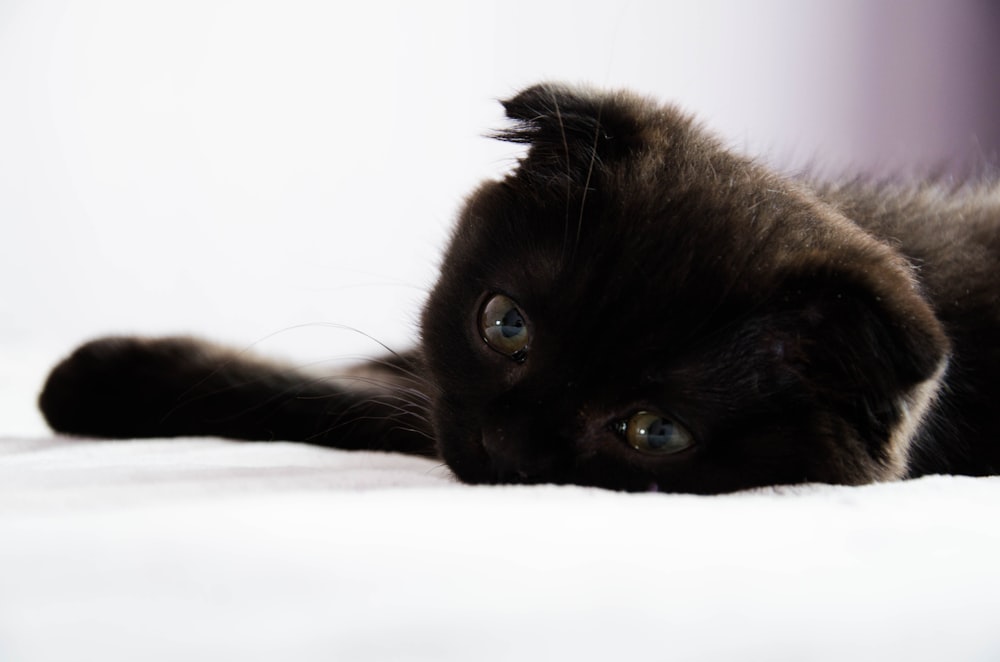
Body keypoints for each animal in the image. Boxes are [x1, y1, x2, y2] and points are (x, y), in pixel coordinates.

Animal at [39, 83, 1000, 496]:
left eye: (654, 432)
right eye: (505, 326)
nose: (504, 444)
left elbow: (347, 402)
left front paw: (100, 378)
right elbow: (375, 370)